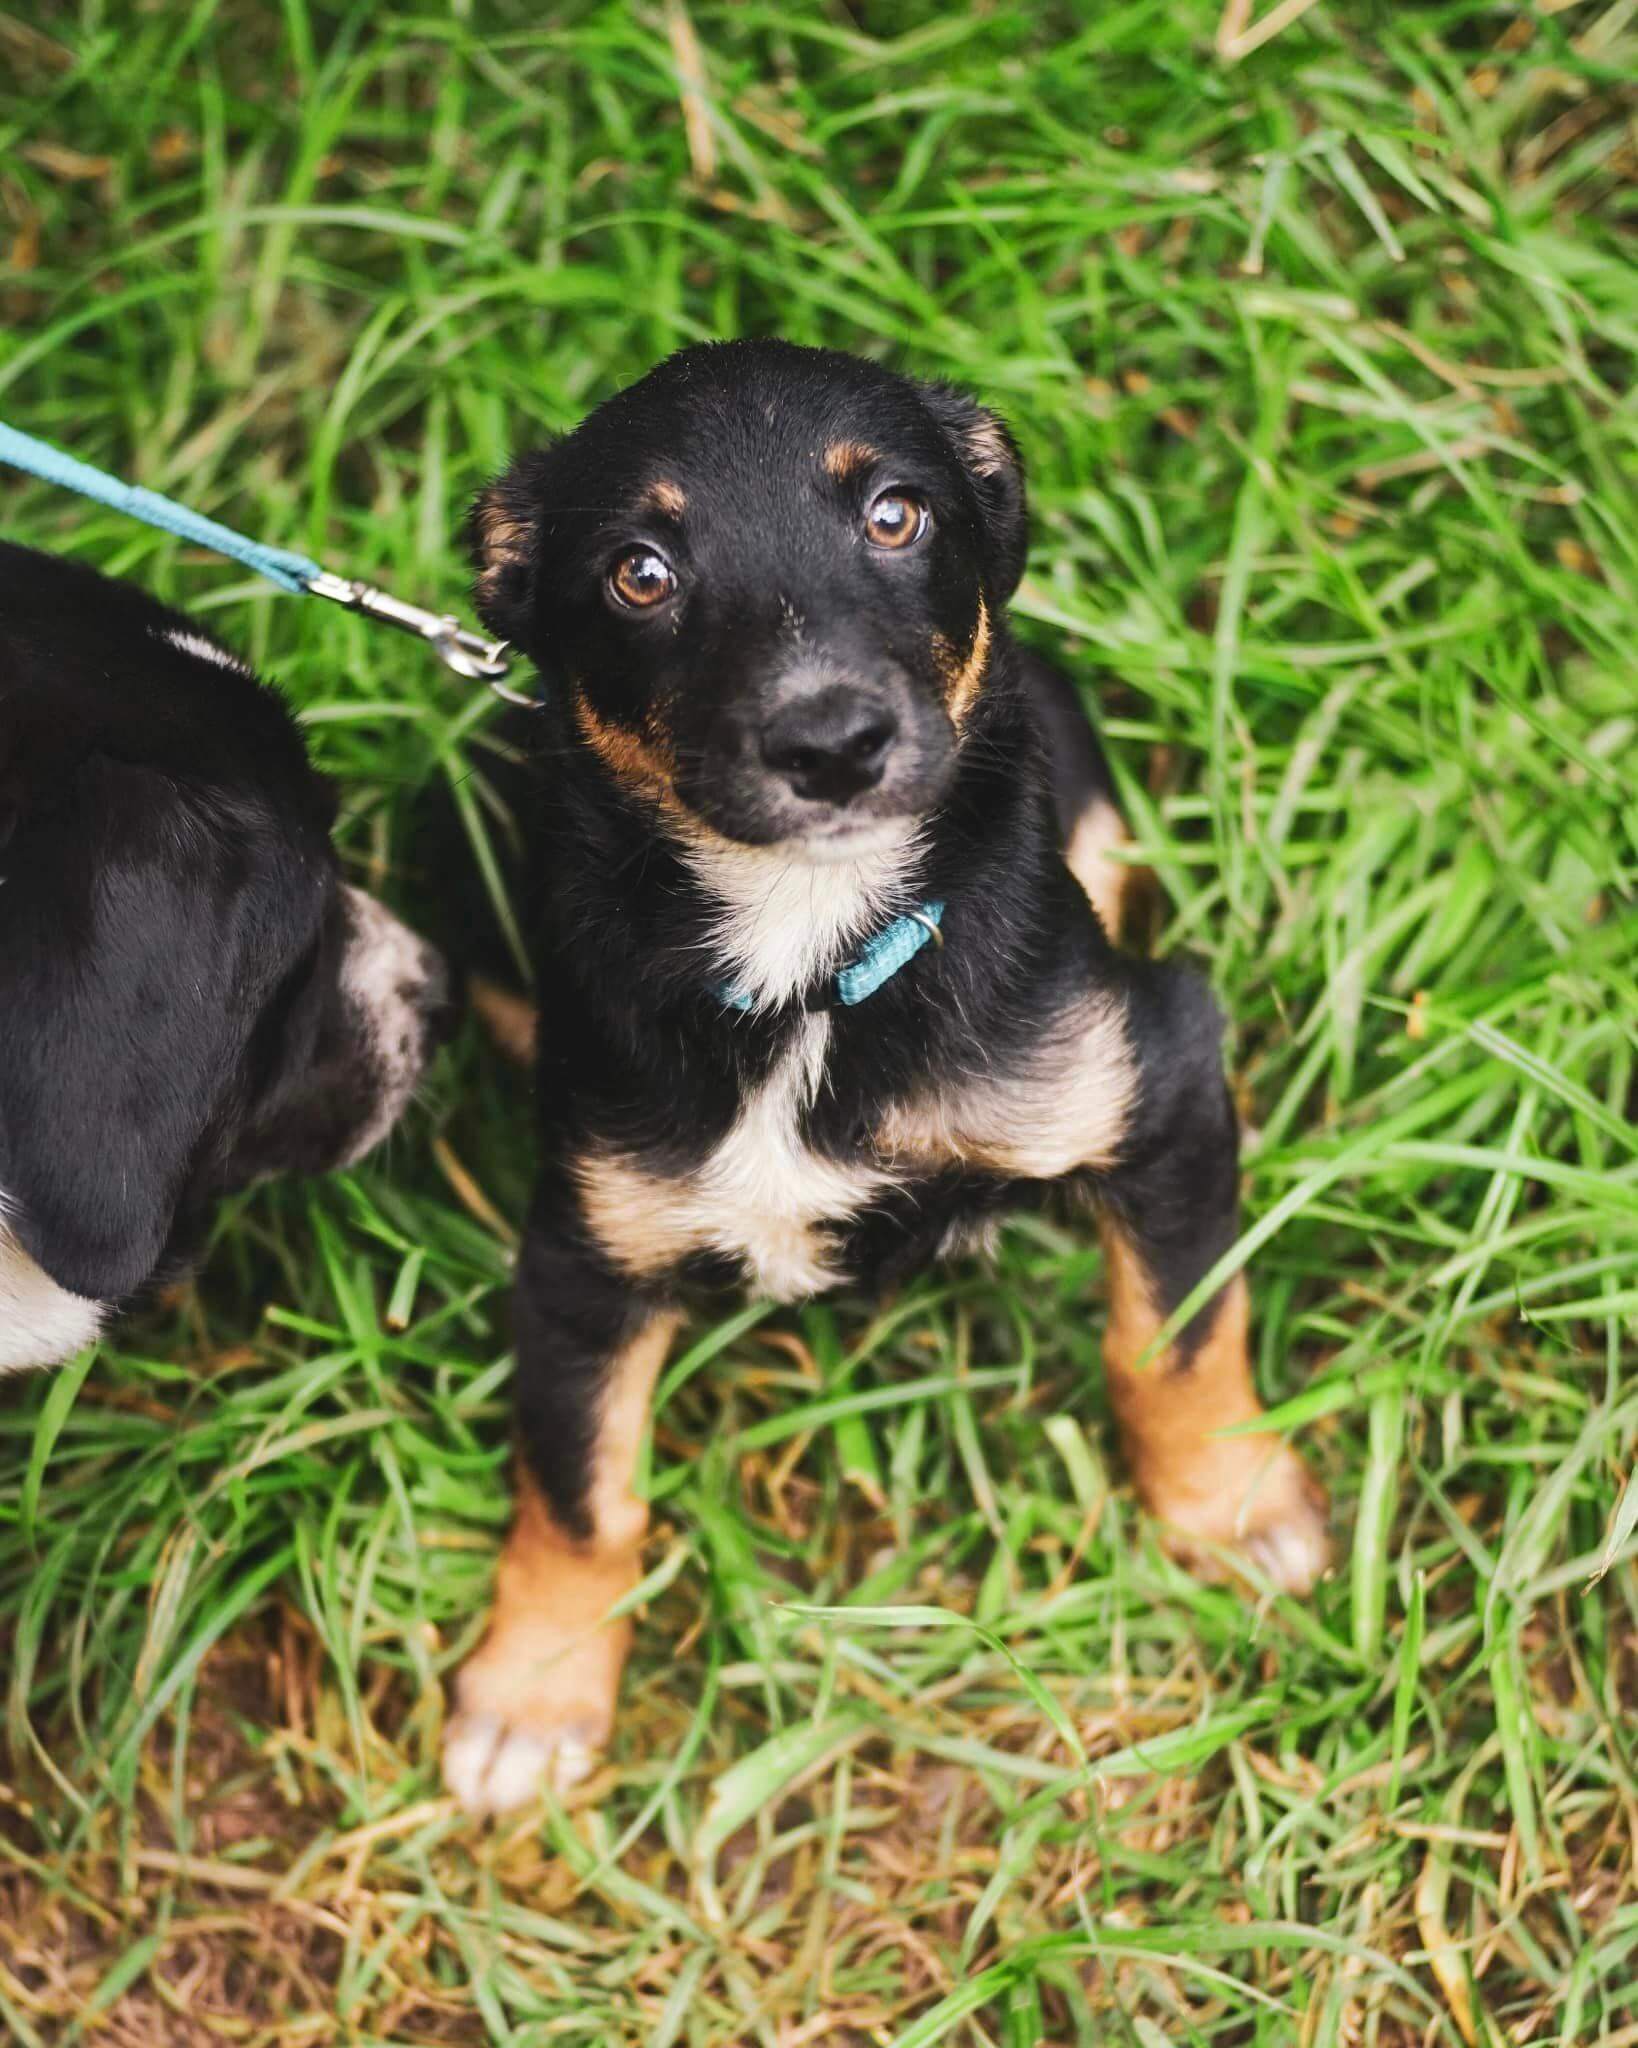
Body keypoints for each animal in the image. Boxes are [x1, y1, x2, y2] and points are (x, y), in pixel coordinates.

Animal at [448, 344, 1326, 1818]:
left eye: (895, 514)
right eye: (640, 572)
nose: (831, 743)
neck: (808, 960)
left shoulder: (1158, 1073)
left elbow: (1173, 1340)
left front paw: (1233, 1511)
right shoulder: (584, 1247)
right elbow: (580, 1495)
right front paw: (534, 1690)